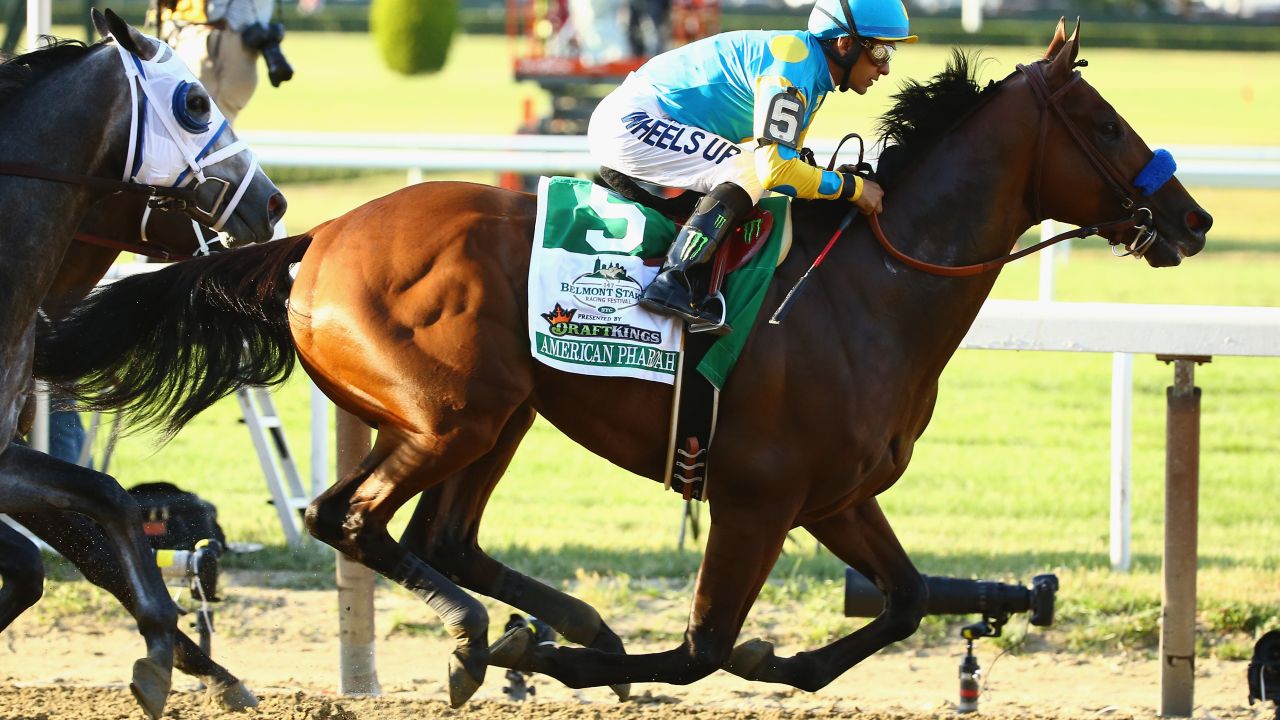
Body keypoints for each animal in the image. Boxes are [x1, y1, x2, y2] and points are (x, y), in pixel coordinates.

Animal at [37, 19, 1208, 702]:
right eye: (1106, 121)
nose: (1192, 219)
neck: (872, 291)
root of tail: (318, 238)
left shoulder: (832, 495)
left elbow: (909, 597)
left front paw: (783, 660)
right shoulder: (754, 498)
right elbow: (699, 648)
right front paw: (585, 664)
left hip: (501, 411)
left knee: (444, 539)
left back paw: (549, 624)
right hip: (448, 412)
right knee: (350, 520)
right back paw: (485, 639)